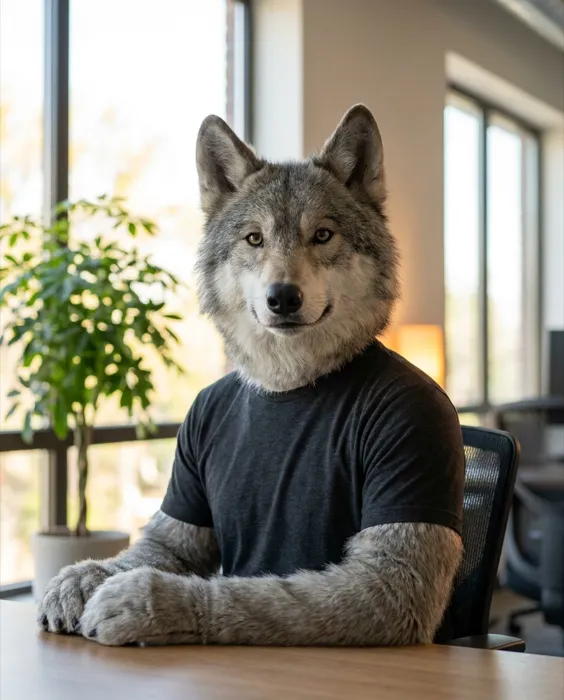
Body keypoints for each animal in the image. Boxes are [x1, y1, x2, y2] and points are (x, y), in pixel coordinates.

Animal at [38, 105, 464, 647]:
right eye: (254, 238)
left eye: (322, 235)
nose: (282, 297)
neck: (289, 385)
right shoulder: (178, 520)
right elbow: (152, 549)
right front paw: (79, 577)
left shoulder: (392, 575)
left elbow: (254, 595)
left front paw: (146, 602)